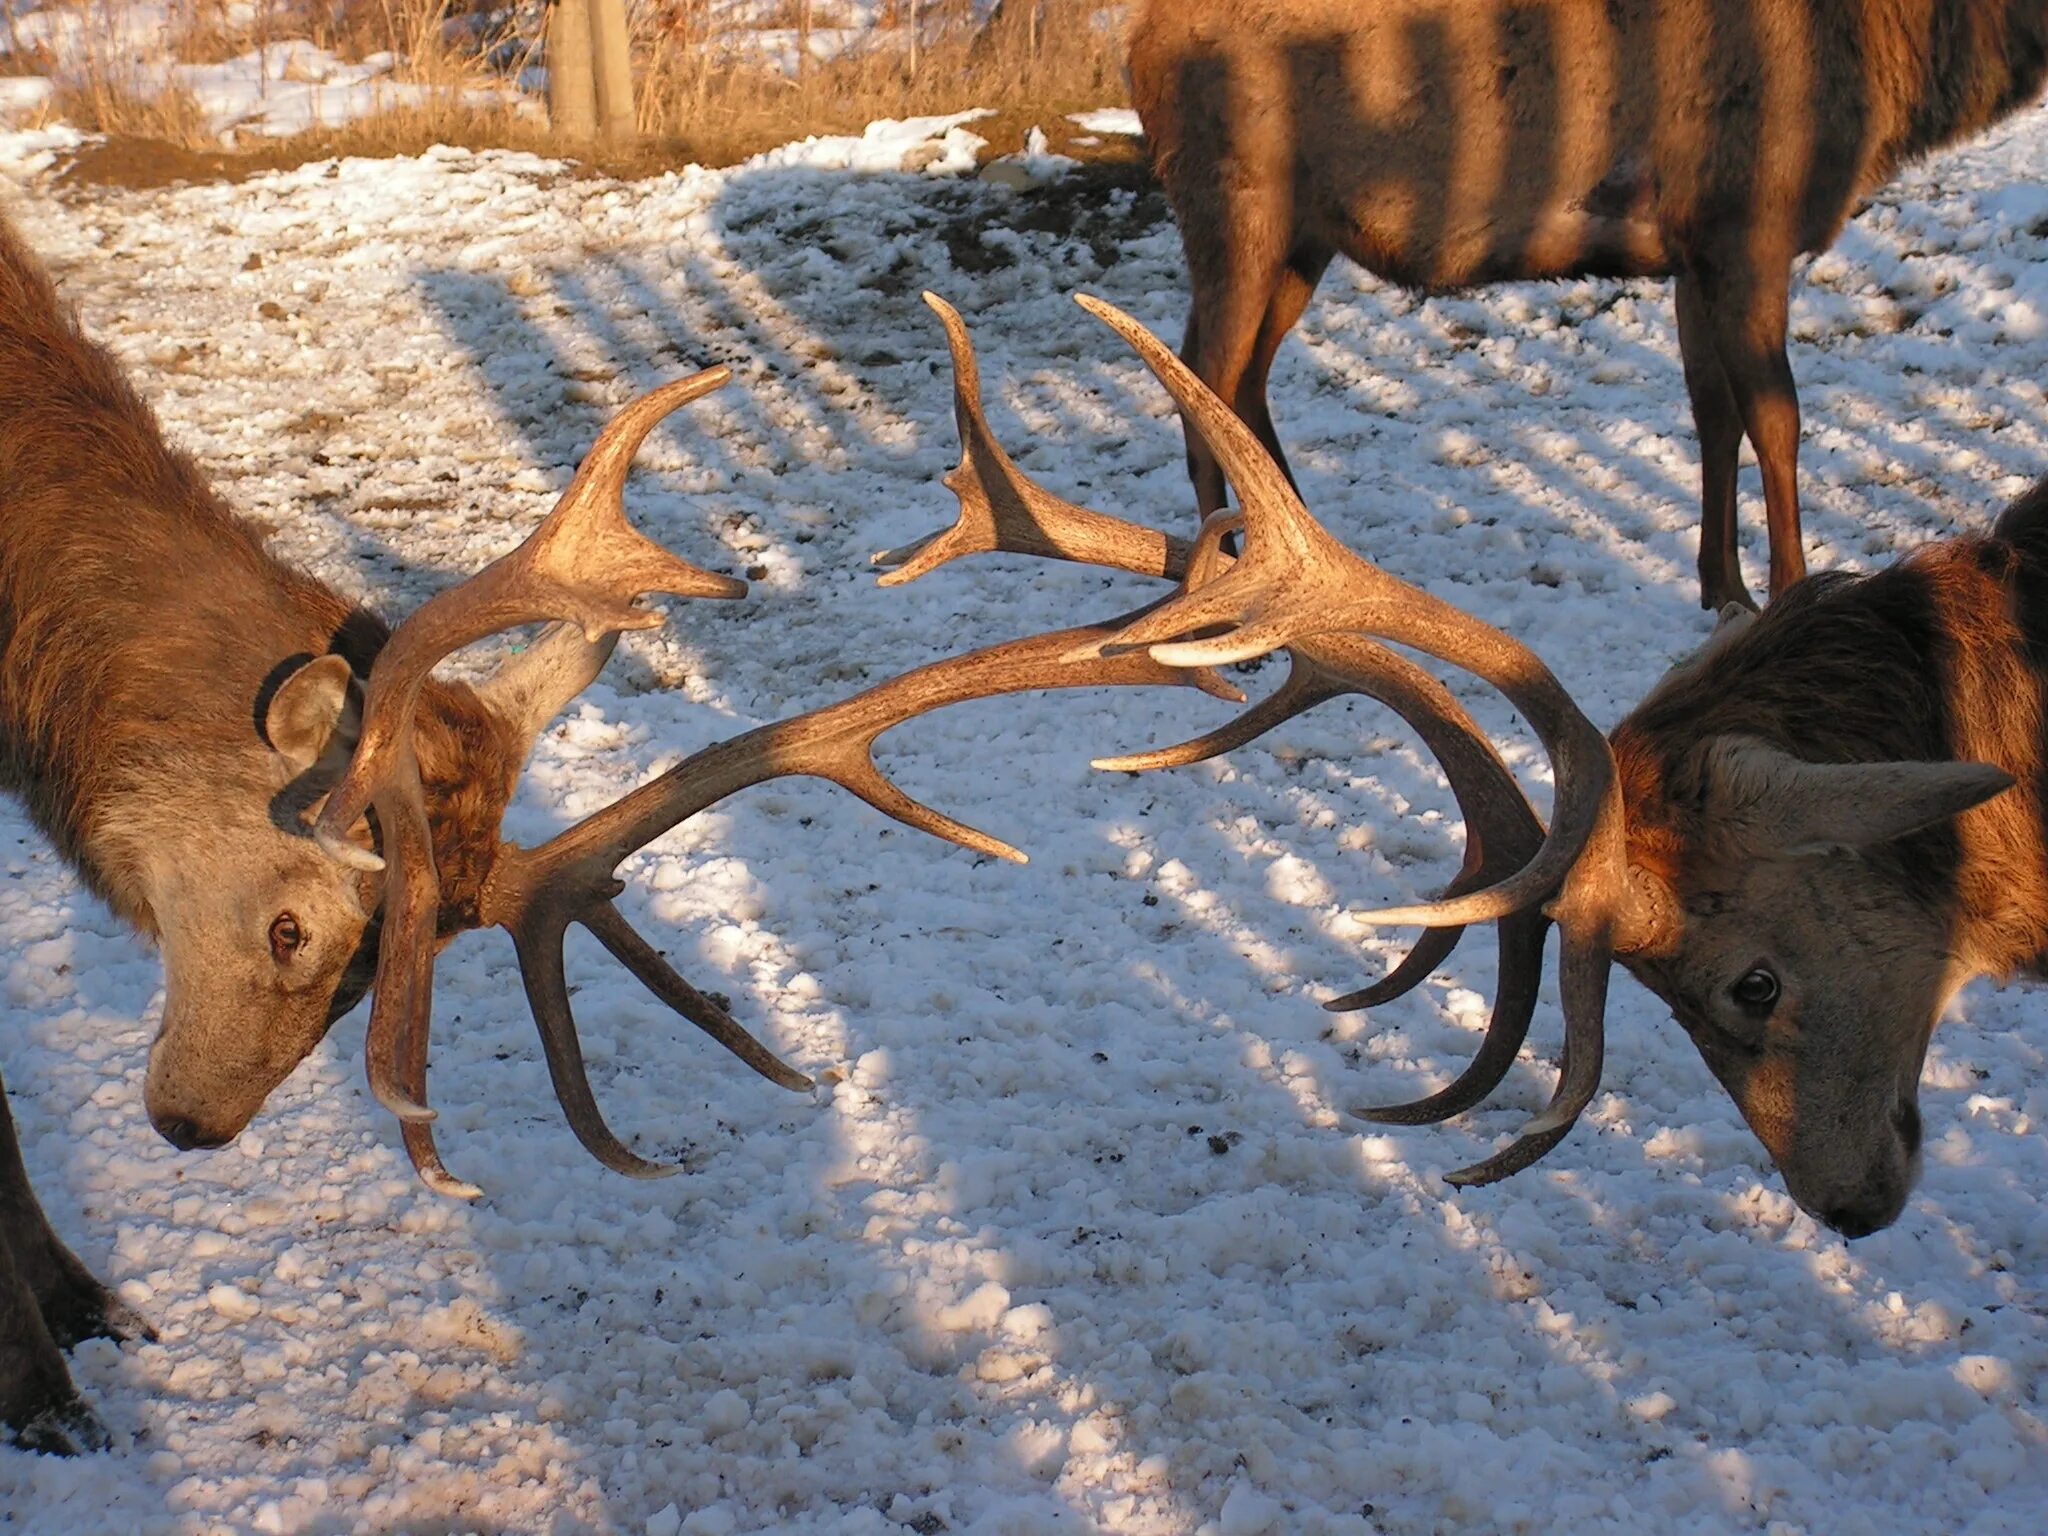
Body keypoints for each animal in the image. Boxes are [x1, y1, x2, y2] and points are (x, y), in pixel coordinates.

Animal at [1130, 0, 2048, 614]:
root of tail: (1138, 48)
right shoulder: (1746, 225)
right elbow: (1777, 416)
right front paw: (1789, 589)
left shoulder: (1692, 253)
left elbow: (1714, 412)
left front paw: (1723, 586)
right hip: (1237, 206)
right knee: (1202, 371)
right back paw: (1231, 566)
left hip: (1301, 237)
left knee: (1237, 376)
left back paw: (1304, 539)